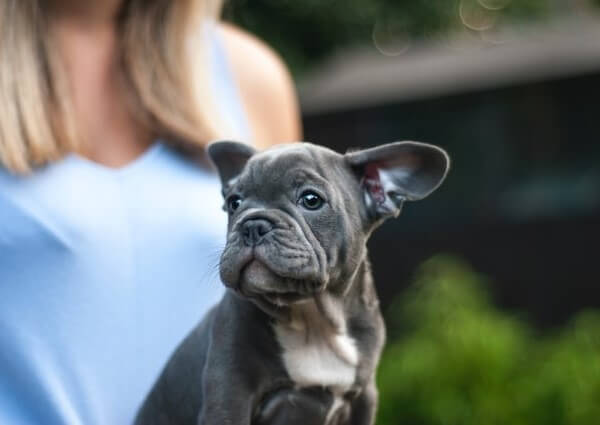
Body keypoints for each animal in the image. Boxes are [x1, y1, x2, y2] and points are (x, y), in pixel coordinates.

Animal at [135, 139, 446, 424]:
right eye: (234, 203)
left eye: (311, 200)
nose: (253, 224)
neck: (313, 319)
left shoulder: (363, 399)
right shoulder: (228, 396)